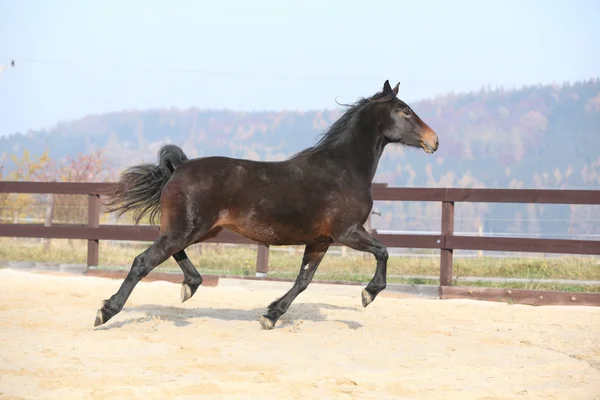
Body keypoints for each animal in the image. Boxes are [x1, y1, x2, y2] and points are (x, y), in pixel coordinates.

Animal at [96, 79, 438, 330]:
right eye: (405, 111)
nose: (434, 141)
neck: (343, 168)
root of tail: (180, 166)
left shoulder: (320, 241)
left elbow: (304, 280)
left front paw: (271, 315)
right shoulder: (348, 232)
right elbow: (383, 251)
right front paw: (368, 294)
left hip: (198, 230)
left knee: (170, 253)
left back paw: (190, 285)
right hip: (188, 229)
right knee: (144, 261)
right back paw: (106, 311)